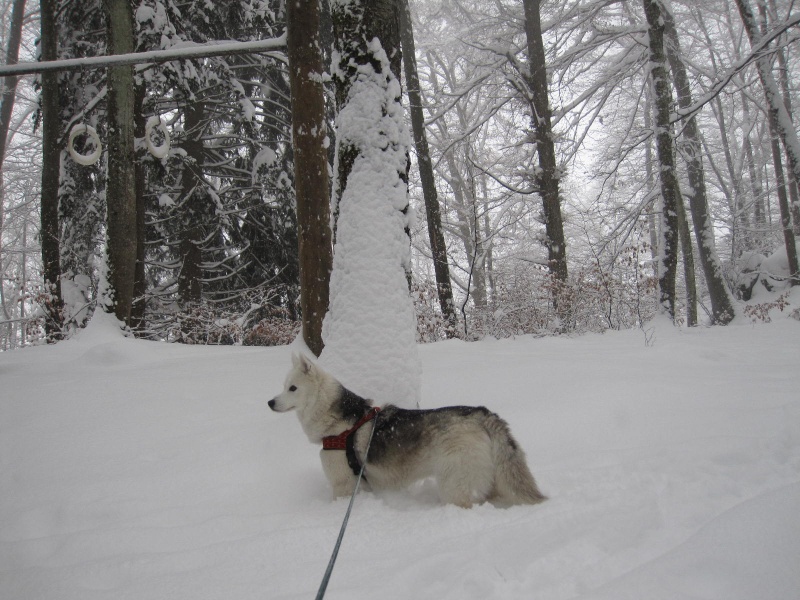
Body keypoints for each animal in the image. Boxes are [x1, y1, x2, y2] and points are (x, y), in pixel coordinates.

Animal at [268, 354, 544, 508]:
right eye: (283, 386)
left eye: (292, 388)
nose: (270, 402)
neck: (340, 420)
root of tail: (483, 414)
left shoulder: (343, 485)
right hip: (491, 479)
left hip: (454, 484)